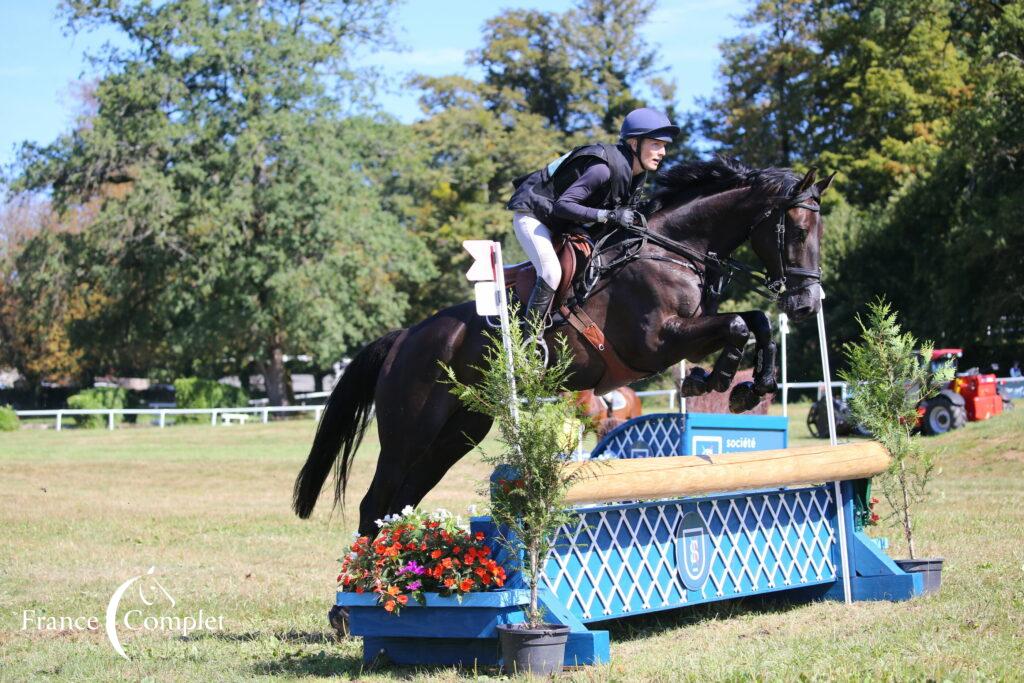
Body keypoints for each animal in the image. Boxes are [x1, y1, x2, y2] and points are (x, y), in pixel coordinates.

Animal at [294, 157, 831, 536]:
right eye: (798, 230)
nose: (807, 304)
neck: (672, 248)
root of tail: (406, 337)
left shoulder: (689, 333)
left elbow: (756, 321)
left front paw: (746, 386)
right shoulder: (657, 343)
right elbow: (740, 324)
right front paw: (718, 380)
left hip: (457, 431)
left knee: (400, 501)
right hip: (410, 431)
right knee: (375, 502)